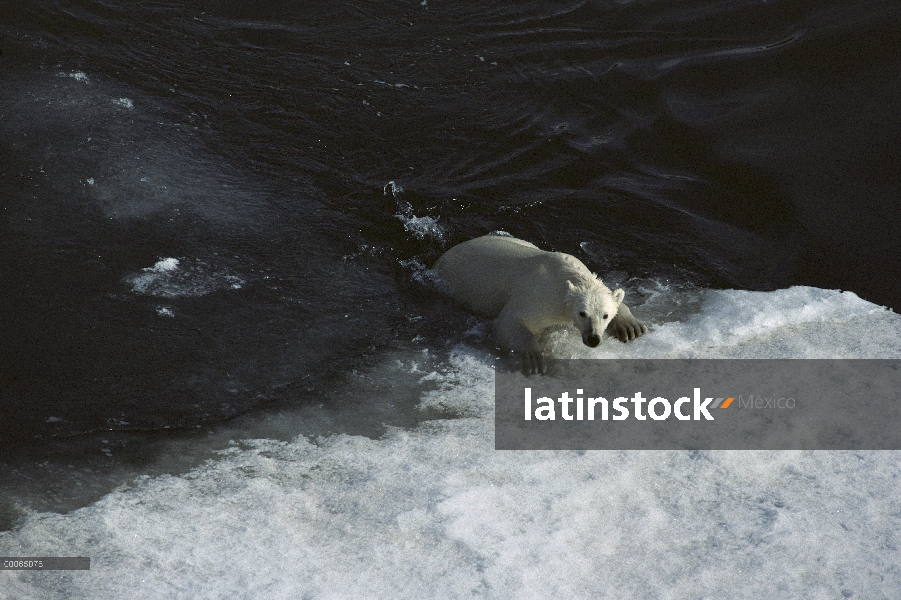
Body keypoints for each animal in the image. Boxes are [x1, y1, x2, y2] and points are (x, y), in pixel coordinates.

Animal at [436, 233, 648, 370]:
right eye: (582, 313)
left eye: (605, 315)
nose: (593, 339)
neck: (563, 276)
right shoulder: (539, 296)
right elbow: (510, 322)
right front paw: (533, 359)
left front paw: (630, 327)